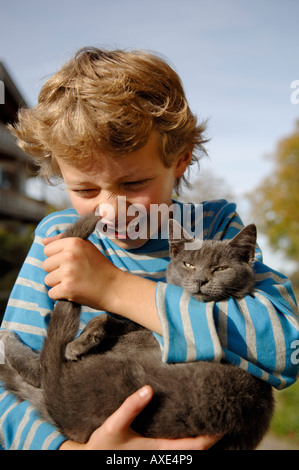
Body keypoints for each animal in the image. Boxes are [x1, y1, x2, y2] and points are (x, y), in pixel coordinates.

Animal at [0, 215, 274, 450]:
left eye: (220, 269)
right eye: (188, 264)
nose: (200, 280)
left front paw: (76, 344)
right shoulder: (135, 325)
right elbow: (107, 317)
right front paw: (84, 339)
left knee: (40, 369)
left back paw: (10, 342)